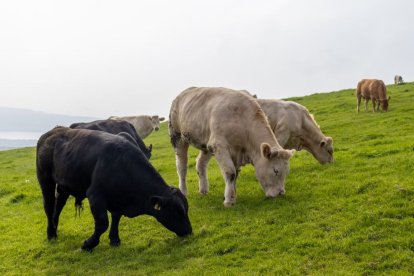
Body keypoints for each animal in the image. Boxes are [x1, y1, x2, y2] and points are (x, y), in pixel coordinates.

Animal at [36, 126, 192, 251]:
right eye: (179, 211)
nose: (189, 231)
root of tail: (51, 133)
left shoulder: (118, 200)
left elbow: (116, 217)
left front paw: (115, 239)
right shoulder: (95, 196)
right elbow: (102, 223)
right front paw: (88, 244)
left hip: (64, 185)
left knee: (58, 205)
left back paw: (55, 229)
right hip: (45, 179)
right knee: (49, 205)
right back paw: (51, 234)